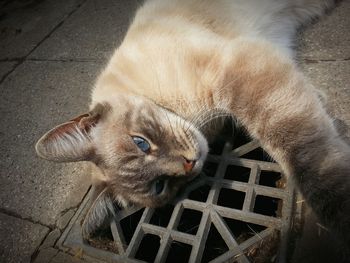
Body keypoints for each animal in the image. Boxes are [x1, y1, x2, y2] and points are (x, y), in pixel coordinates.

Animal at [34, 0, 348, 256]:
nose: (189, 163)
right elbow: (310, 118)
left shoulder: (242, 72)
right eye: (159, 186)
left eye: (141, 142)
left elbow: (307, 156)